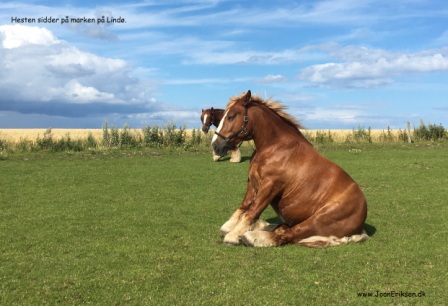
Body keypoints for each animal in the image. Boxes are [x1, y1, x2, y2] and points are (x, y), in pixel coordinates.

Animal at [212, 89, 370, 247]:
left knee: (290, 234)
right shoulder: (252, 182)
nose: (215, 146)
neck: (276, 148)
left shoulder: (270, 186)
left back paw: (254, 237)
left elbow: (253, 210)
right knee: (283, 229)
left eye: (231, 116)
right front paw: (229, 227)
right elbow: (244, 206)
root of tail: (360, 225)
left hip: (320, 218)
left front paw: (234, 235)